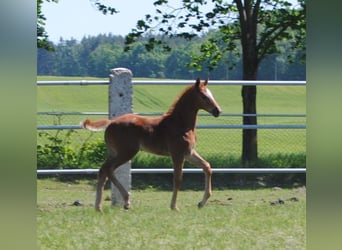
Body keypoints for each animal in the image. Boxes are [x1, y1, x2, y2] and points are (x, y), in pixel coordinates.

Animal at [82, 78, 222, 211]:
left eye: (211, 94)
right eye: (203, 96)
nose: (218, 111)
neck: (180, 124)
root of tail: (111, 122)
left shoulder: (189, 153)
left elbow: (207, 166)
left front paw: (201, 203)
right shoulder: (177, 154)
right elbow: (178, 179)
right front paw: (174, 206)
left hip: (115, 152)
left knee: (105, 170)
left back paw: (116, 204)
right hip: (126, 152)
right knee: (107, 169)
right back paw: (106, 205)